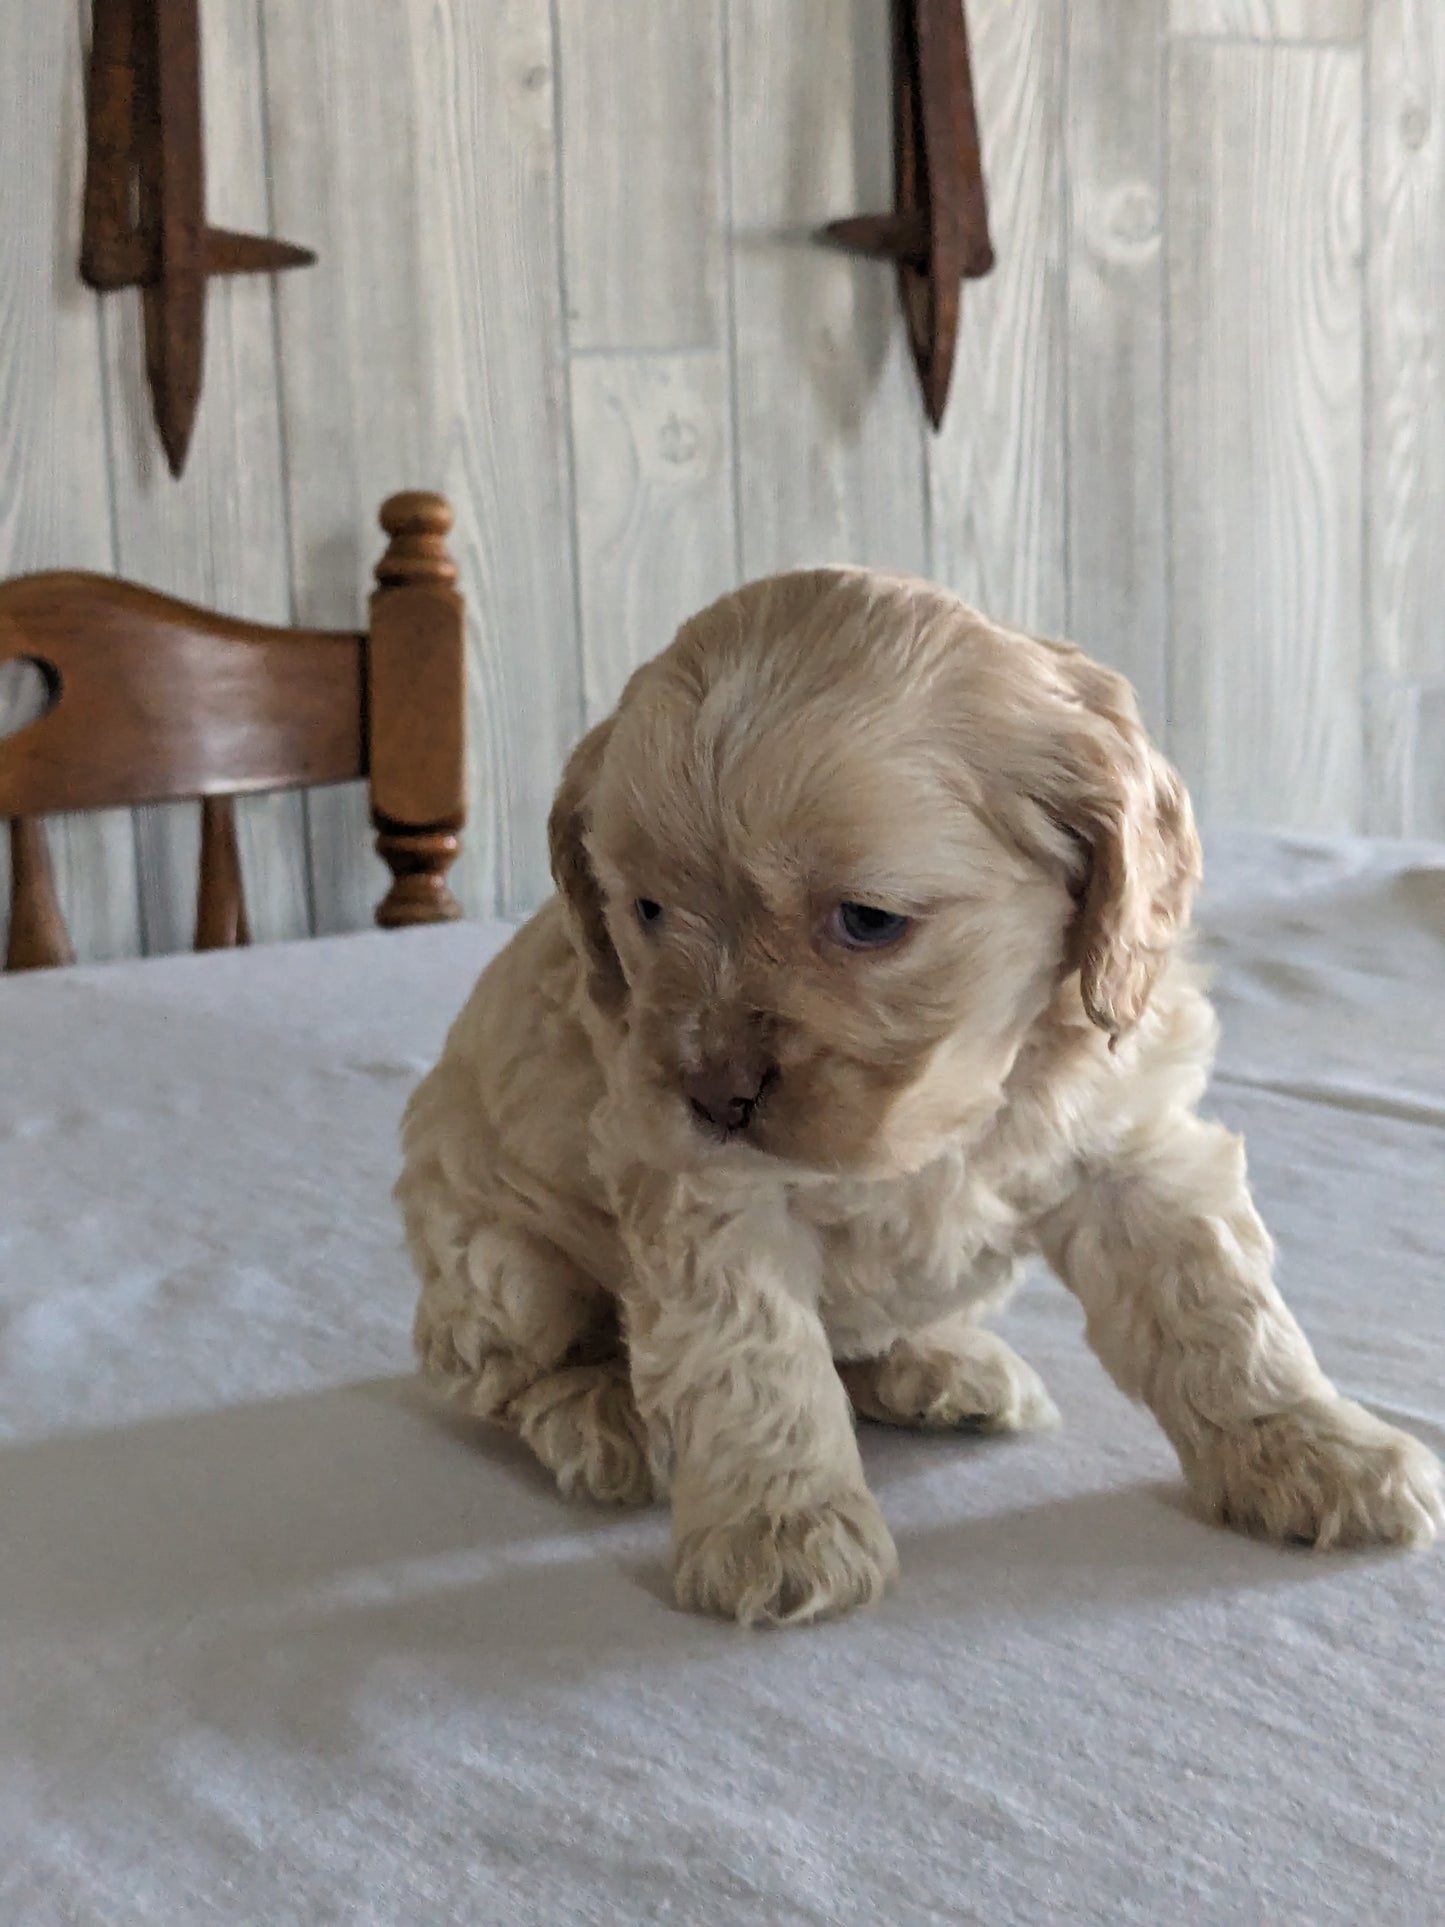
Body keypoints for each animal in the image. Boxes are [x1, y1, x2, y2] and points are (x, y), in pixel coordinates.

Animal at [398, 570, 1445, 1626]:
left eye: (868, 920)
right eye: (646, 910)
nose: (713, 1095)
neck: (954, 1103)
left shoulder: (1134, 1151)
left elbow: (1222, 1315)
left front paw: (1318, 1452)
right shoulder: (708, 1194)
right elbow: (753, 1356)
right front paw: (780, 1529)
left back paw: (941, 1367)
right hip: (498, 1267)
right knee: (502, 1370)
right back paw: (599, 1412)